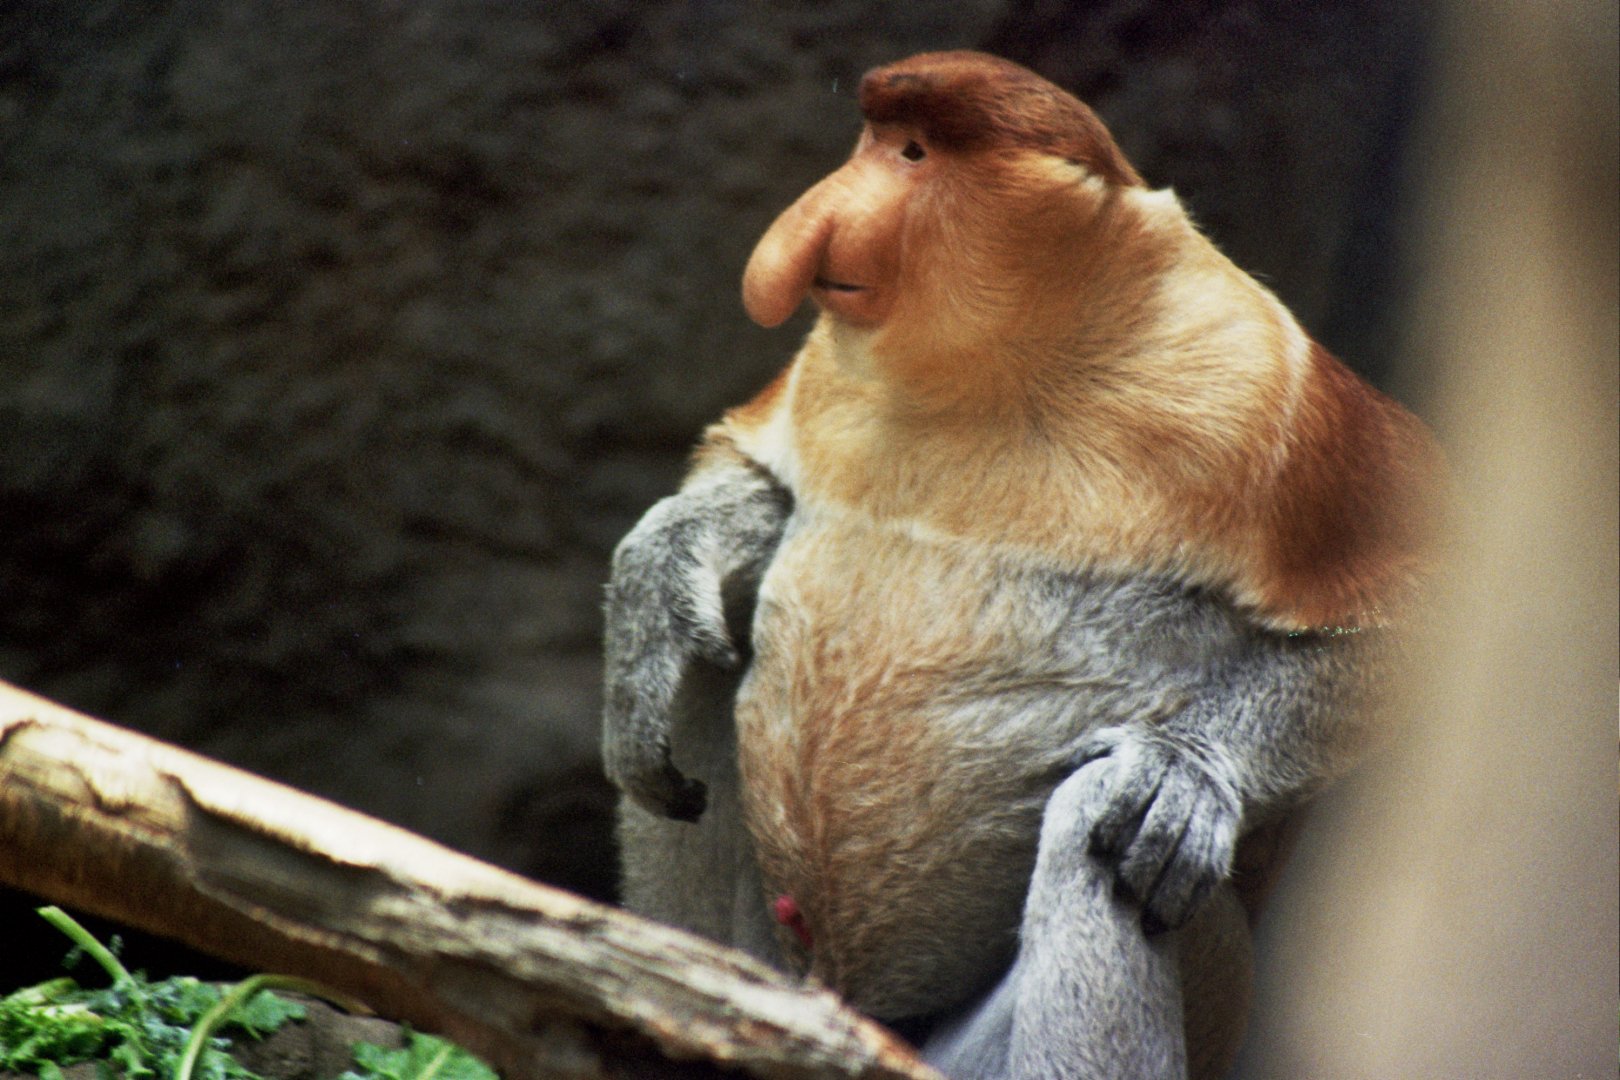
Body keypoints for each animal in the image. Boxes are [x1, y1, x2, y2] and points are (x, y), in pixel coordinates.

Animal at [602, 51, 1440, 1080]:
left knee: (1094, 826)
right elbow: (753, 469)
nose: (805, 229)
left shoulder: (1261, 378)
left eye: (914, 152)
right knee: (699, 670)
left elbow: (1432, 602)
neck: (1002, 371)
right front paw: (657, 573)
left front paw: (1179, 773)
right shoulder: (825, 369)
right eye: (875, 139)